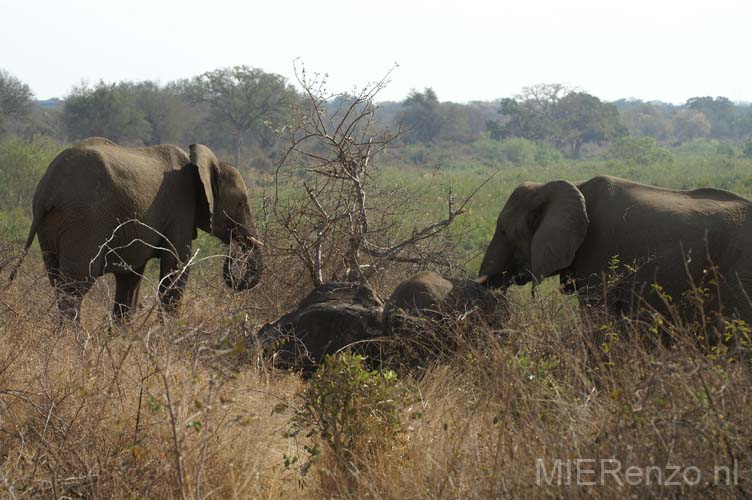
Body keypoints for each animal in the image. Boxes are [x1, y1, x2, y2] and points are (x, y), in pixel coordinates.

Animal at [9, 139, 264, 322]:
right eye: (241, 203)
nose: (233, 250)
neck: (208, 162)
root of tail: (47, 190)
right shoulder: (180, 208)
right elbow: (177, 267)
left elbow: (130, 279)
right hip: (82, 221)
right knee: (75, 286)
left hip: (52, 227)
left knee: (57, 280)